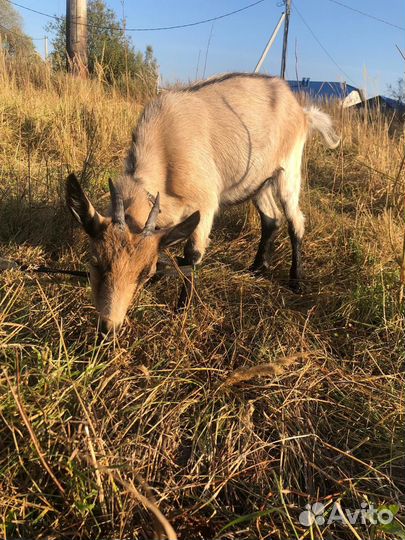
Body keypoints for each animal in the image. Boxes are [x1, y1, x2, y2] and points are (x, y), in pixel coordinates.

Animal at [66, 71, 338, 334]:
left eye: (144, 273)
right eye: (94, 261)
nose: (108, 327)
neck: (165, 145)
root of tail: (302, 112)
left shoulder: (205, 205)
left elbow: (192, 255)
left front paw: (180, 309)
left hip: (288, 171)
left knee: (295, 220)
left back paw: (296, 281)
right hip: (257, 182)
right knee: (271, 218)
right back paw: (257, 268)